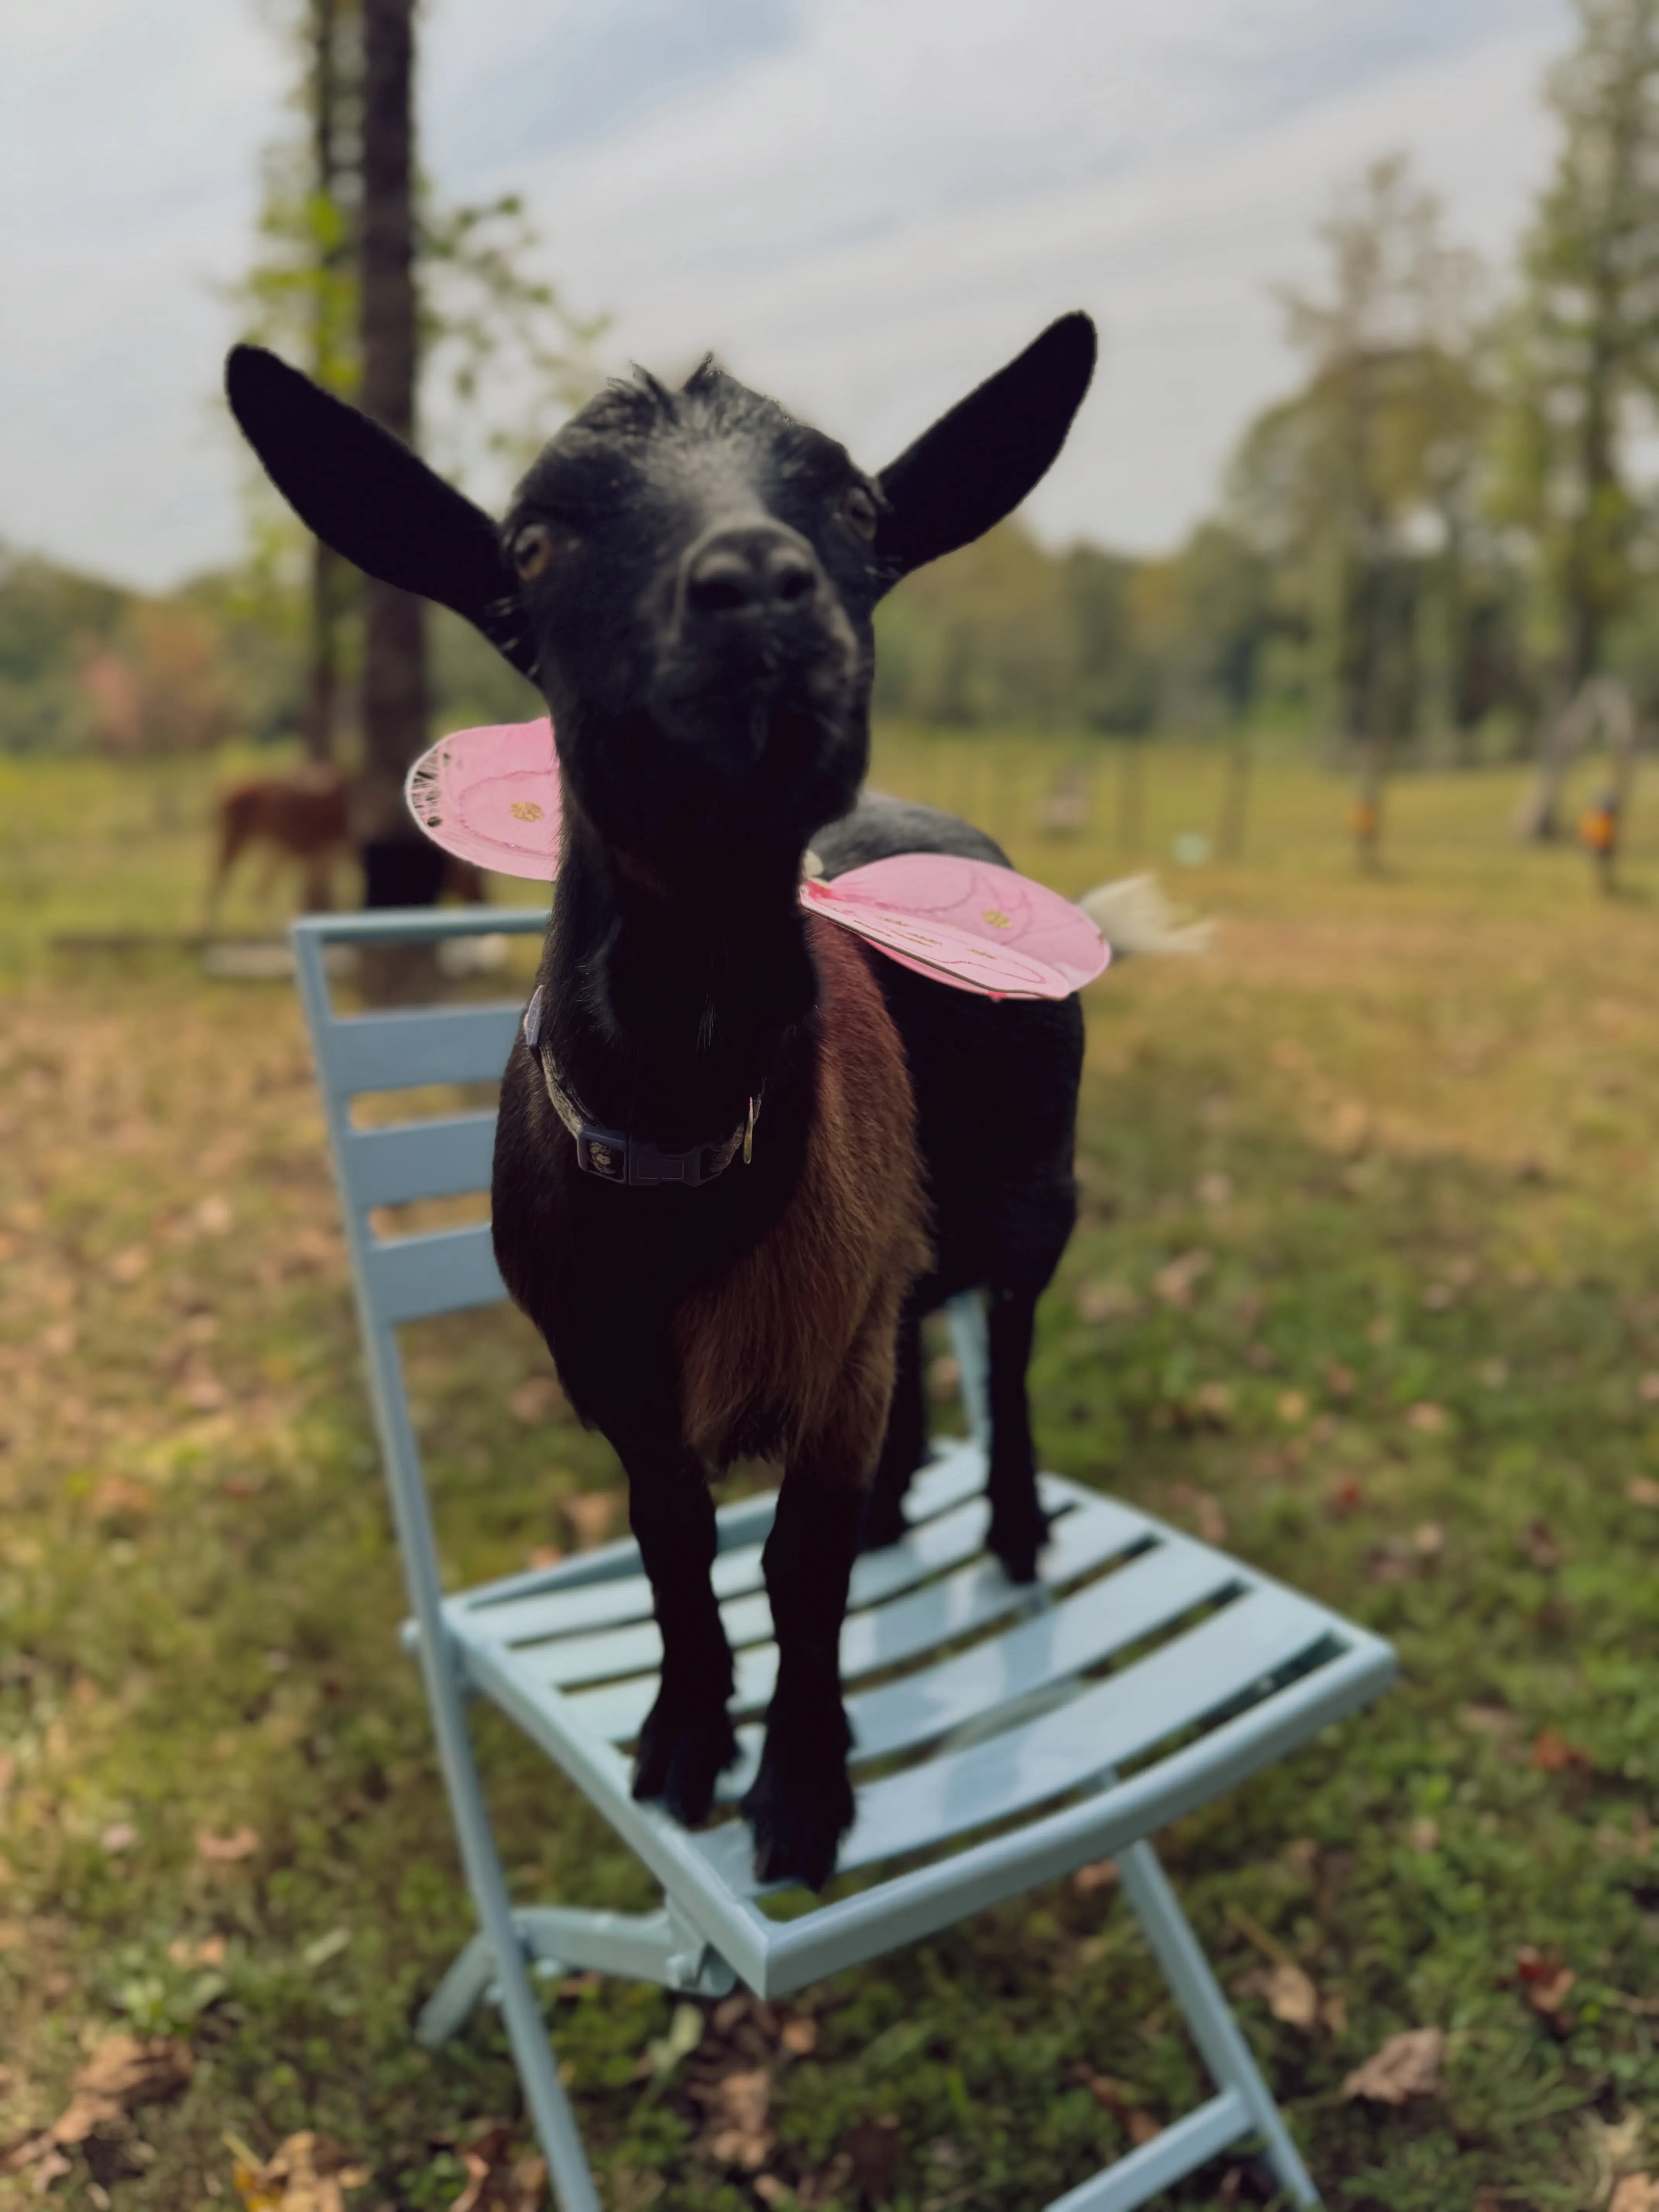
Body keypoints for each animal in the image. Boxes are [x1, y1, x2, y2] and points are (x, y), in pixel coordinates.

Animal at [227, 316, 1099, 1890]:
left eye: (860, 512)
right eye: (530, 541)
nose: (757, 581)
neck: (687, 1136)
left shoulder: (819, 1340)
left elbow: (796, 1570)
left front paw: (801, 1787)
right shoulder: (616, 1368)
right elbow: (673, 1541)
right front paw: (688, 1734)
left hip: (1032, 1185)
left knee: (1003, 1339)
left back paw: (1006, 1527)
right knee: (917, 1341)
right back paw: (905, 1505)